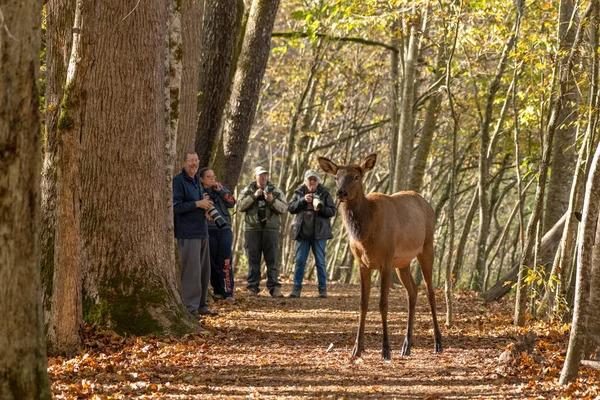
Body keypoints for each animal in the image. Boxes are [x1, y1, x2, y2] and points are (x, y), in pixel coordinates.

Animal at [318, 153, 440, 360]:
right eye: (336, 177)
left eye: (356, 177)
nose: (341, 193)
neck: (365, 234)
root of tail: (428, 205)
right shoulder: (362, 264)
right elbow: (363, 304)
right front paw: (357, 349)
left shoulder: (386, 260)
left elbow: (383, 304)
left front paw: (385, 350)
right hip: (403, 262)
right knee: (412, 291)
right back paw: (406, 346)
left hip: (426, 246)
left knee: (430, 291)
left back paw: (438, 343)